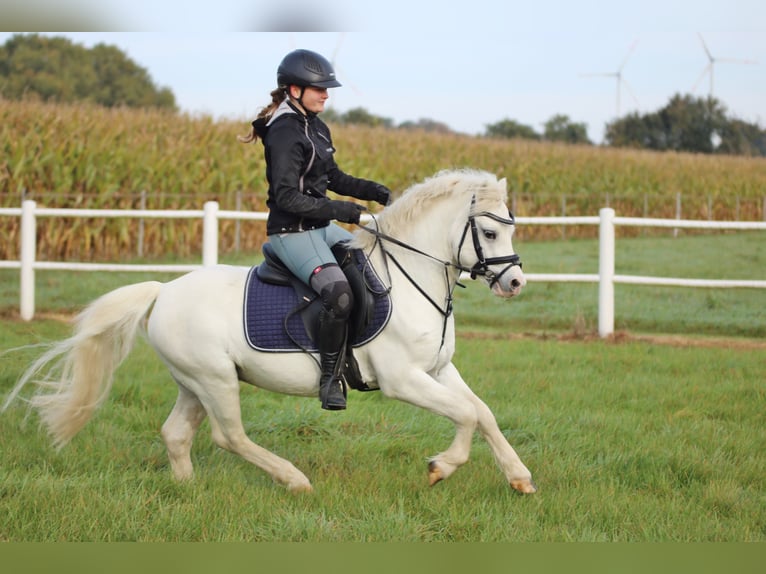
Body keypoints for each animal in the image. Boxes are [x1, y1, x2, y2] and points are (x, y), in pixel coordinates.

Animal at [3, 170, 536, 496]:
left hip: (194, 382)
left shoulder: (438, 369)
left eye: (511, 227)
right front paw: (440, 467)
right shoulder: (402, 379)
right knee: (230, 436)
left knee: (176, 434)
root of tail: (164, 290)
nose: (514, 283)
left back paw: (188, 489)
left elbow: (482, 412)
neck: (407, 278)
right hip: (215, 379)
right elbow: (465, 415)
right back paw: (294, 480)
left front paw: (520, 478)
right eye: (490, 233)